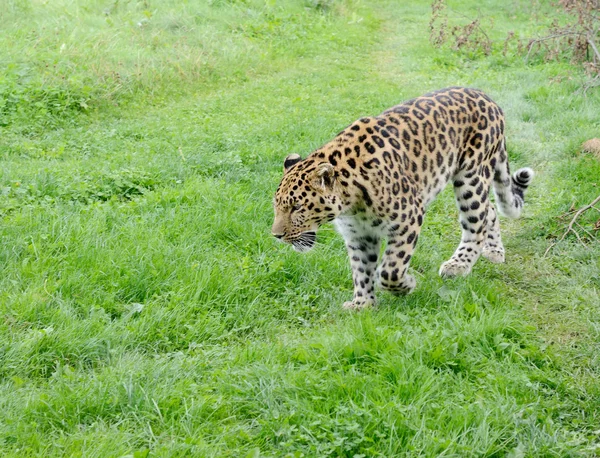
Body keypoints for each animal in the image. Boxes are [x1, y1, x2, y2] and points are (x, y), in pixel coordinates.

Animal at [272, 87, 536, 308]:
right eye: (277, 206)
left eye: (297, 207)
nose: (276, 235)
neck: (350, 202)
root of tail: (489, 99)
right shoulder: (358, 234)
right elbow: (361, 269)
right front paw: (362, 304)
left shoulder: (408, 217)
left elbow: (390, 269)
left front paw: (406, 285)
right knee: (489, 210)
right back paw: (494, 251)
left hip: (471, 178)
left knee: (477, 220)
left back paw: (458, 265)